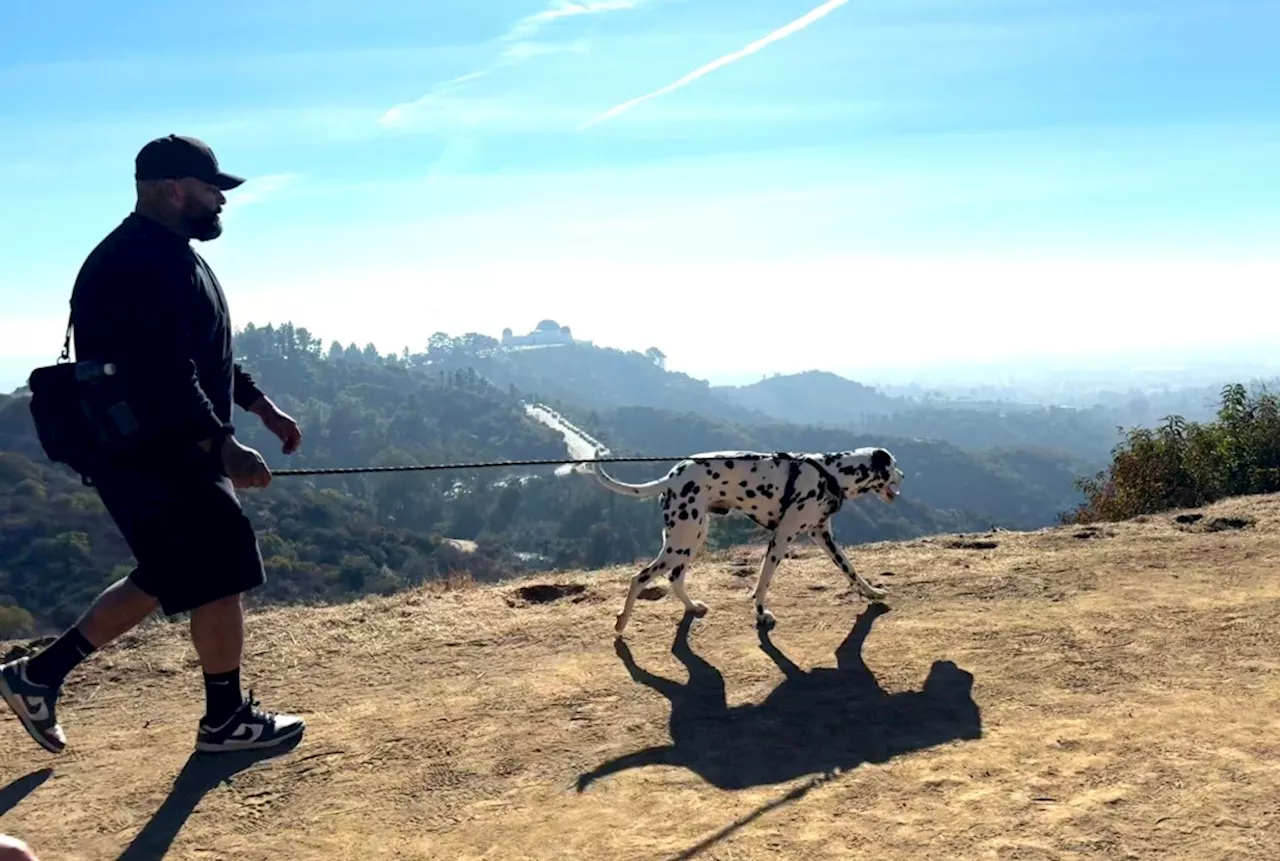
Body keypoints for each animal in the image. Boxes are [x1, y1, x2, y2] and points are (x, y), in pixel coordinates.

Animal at [581, 447, 901, 634]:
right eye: (895, 465)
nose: (904, 475)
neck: (831, 473)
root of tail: (671, 477)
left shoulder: (822, 535)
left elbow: (850, 570)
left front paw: (872, 592)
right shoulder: (781, 538)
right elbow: (763, 582)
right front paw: (760, 614)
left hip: (690, 539)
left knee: (674, 578)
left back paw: (692, 607)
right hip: (682, 541)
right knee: (640, 578)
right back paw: (622, 622)